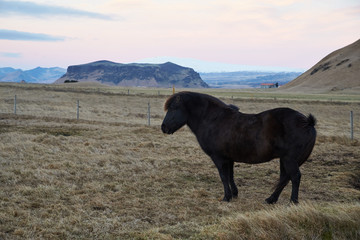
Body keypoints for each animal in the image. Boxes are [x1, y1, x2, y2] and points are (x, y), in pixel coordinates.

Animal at [162, 91, 316, 203]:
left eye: (173, 108)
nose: (163, 128)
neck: (213, 120)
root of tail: (307, 122)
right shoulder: (229, 158)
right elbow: (230, 176)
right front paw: (234, 194)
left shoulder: (218, 158)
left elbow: (223, 176)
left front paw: (226, 197)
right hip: (284, 160)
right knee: (285, 177)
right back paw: (271, 199)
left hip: (289, 159)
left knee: (294, 177)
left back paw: (293, 201)